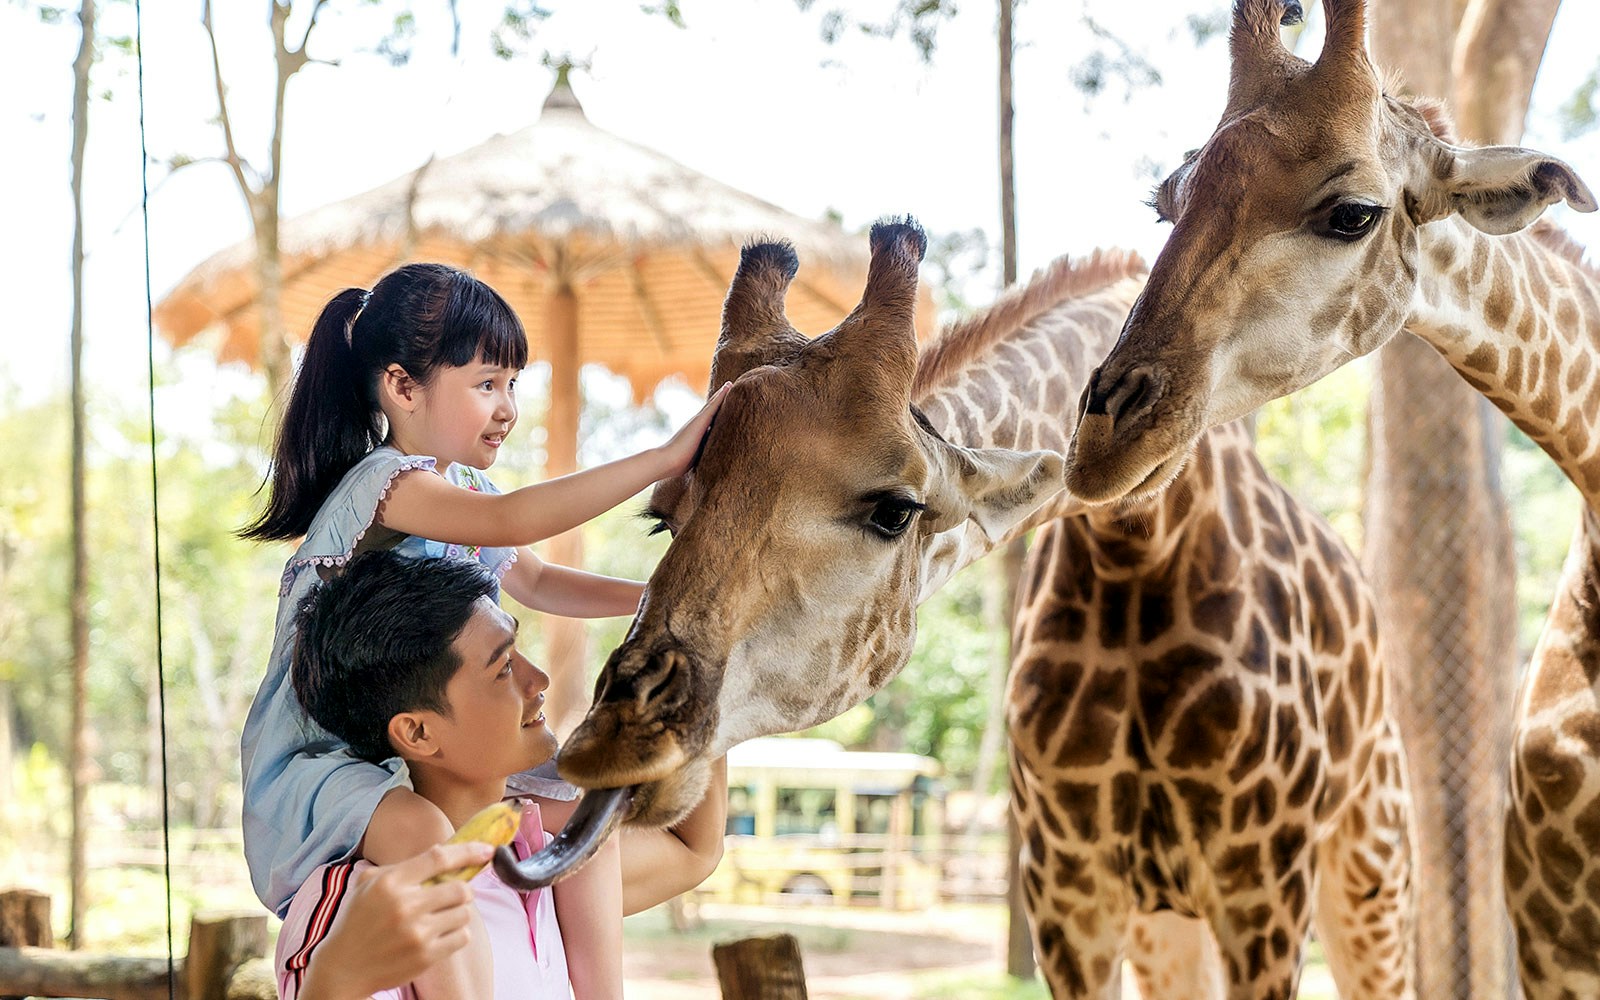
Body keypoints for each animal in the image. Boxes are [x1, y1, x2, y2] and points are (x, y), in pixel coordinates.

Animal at [531, 219, 1414, 998]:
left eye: (894, 510)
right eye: (662, 517)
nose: (613, 739)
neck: (1144, 541)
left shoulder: (1262, 889)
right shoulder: (1068, 892)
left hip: (1369, 872)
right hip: (1170, 922)